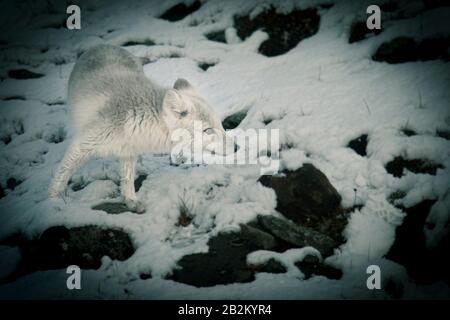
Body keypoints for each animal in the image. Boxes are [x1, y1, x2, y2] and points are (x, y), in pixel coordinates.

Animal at [49, 43, 236, 212]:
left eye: (220, 124)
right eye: (207, 130)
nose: (236, 147)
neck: (138, 118)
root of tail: (103, 44)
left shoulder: (128, 150)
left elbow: (127, 179)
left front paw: (130, 200)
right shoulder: (83, 144)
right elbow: (62, 175)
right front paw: (52, 203)